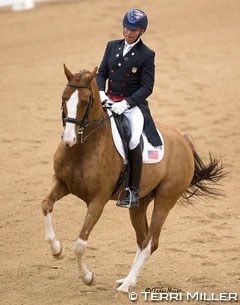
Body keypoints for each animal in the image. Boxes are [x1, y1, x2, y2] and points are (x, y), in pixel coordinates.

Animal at [41, 65, 225, 294]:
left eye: (84, 101)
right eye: (64, 98)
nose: (68, 140)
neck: (82, 149)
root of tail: (183, 140)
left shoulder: (97, 201)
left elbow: (80, 244)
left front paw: (88, 277)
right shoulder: (62, 184)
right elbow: (46, 204)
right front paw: (57, 250)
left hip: (165, 201)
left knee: (149, 242)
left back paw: (127, 284)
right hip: (139, 203)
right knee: (142, 239)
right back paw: (126, 280)